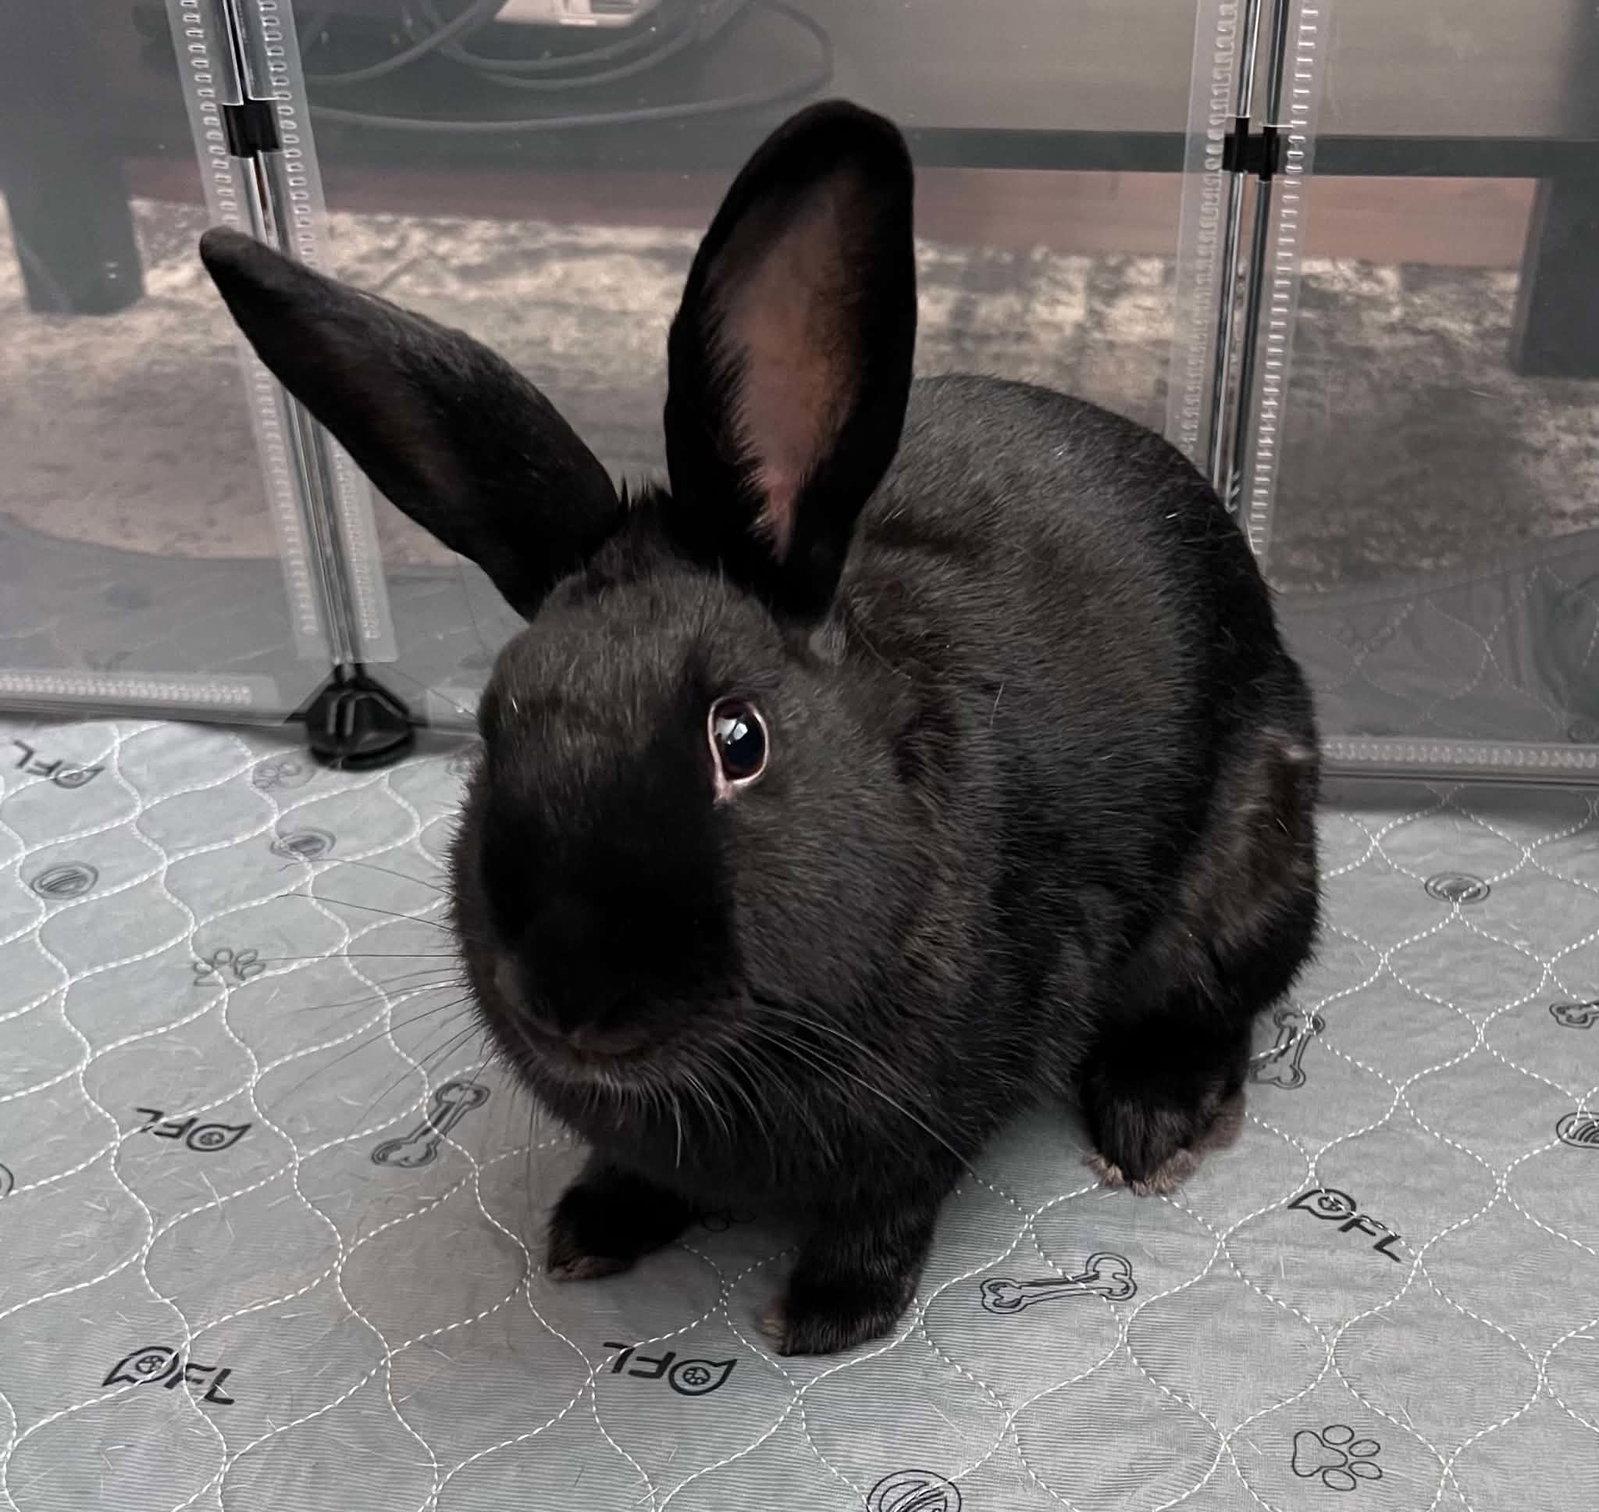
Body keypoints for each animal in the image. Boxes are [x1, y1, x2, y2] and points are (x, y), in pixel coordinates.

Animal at [199, 99, 1319, 1356]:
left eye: (739, 740)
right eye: (490, 730)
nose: (571, 999)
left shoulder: (941, 1104)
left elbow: (892, 1201)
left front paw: (826, 1313)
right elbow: (639, 1174)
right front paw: (591, 1228)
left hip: (1253, 860)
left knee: (1223, 998)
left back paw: (1152, 1123)